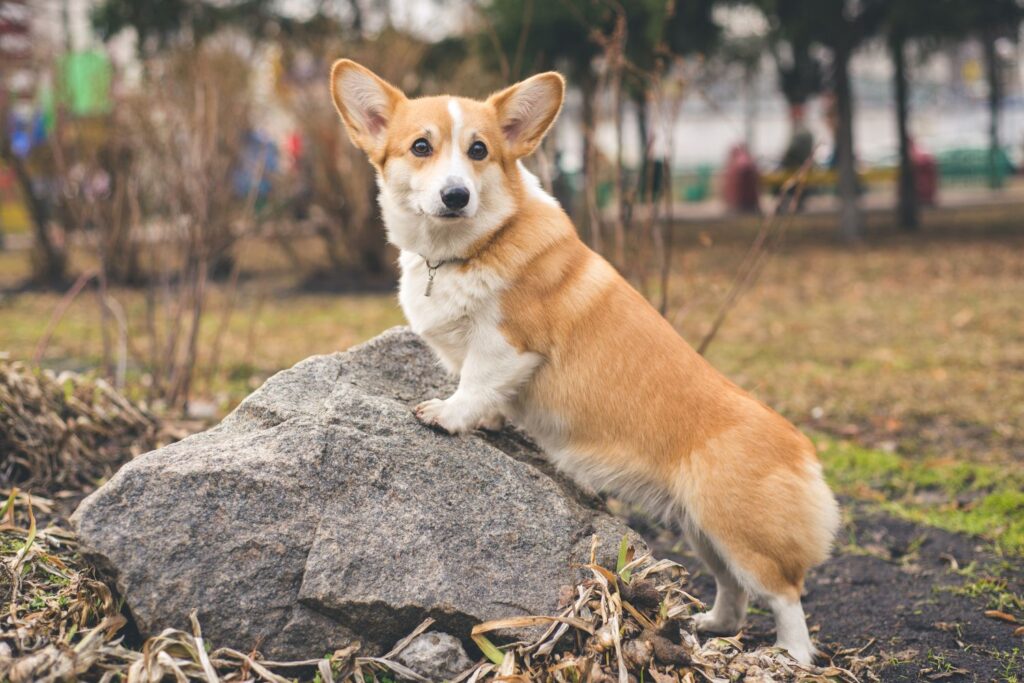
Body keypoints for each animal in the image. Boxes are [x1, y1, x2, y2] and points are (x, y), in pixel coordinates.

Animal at [329, 61, 839, 663]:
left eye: (479, 150)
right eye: (420, 146)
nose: (456, 196)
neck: (467, 246)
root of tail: (804, 451)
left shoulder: (507, 343)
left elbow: (475, 382)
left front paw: (449, 416)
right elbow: (486, 393)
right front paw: (489, 421)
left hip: (739, 531)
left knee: (784, 595)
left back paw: (793, 656)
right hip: (702, 532)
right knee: (733, 591)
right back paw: (710, 624)